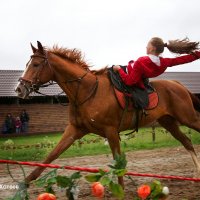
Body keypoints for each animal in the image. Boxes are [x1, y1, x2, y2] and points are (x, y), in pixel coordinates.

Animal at [15, 41, 200, 186]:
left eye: (36, 65)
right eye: (27, 64)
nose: (19, 89)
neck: (87, 91)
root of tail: (178, 84)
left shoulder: (111, 131)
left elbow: (118, 163)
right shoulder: (75, 130)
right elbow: (51, 155)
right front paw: (25, 182)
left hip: (187, 118)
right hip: (168, 122)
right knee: (187, 141)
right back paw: (196, 174)